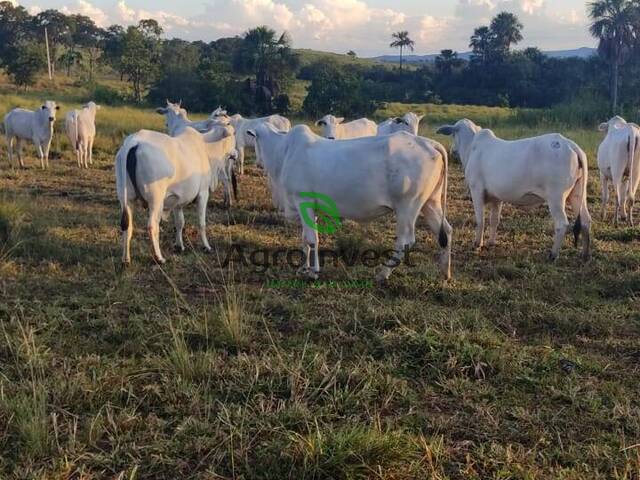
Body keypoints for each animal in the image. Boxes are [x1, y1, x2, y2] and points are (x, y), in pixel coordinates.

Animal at [114, 125, 235, 264]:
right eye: (234, 133)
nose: (235, 153)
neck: (205, 147)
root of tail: (133, 142)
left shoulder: (178, 201)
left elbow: (180, 223)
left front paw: (179, 245)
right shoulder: (203, 193)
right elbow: (202, 223)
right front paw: (206, 246)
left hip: (126, 199)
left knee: (127, 226)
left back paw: (126, 258)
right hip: (156, 200)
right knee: (152, 226)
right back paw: (159, 257)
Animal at [248, 123, 452, 282]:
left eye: (255, 139)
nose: (258, 163)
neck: (283, 152)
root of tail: (430, 143)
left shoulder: (302, 200)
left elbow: (311, 239)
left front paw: (313, 272)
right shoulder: (307, 207)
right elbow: (305, 238)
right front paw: (303, 268)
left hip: (407, 207)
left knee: (405, 241)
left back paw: (382, 274)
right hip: (430, 202)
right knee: (446, 232)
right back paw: (445, 273)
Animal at [436, 120, 592, 262]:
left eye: (453, 134)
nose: (452, 150)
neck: (472, 147)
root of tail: (571, 145)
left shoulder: (476, 190)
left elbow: (480, 220)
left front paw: (477, 244)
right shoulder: (496, 197)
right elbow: (494, 220)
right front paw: (491, 242)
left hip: (556, 197)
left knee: (562, 224)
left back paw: (553, 254)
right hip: (577, 194)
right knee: (586, 220)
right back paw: (585, 255)